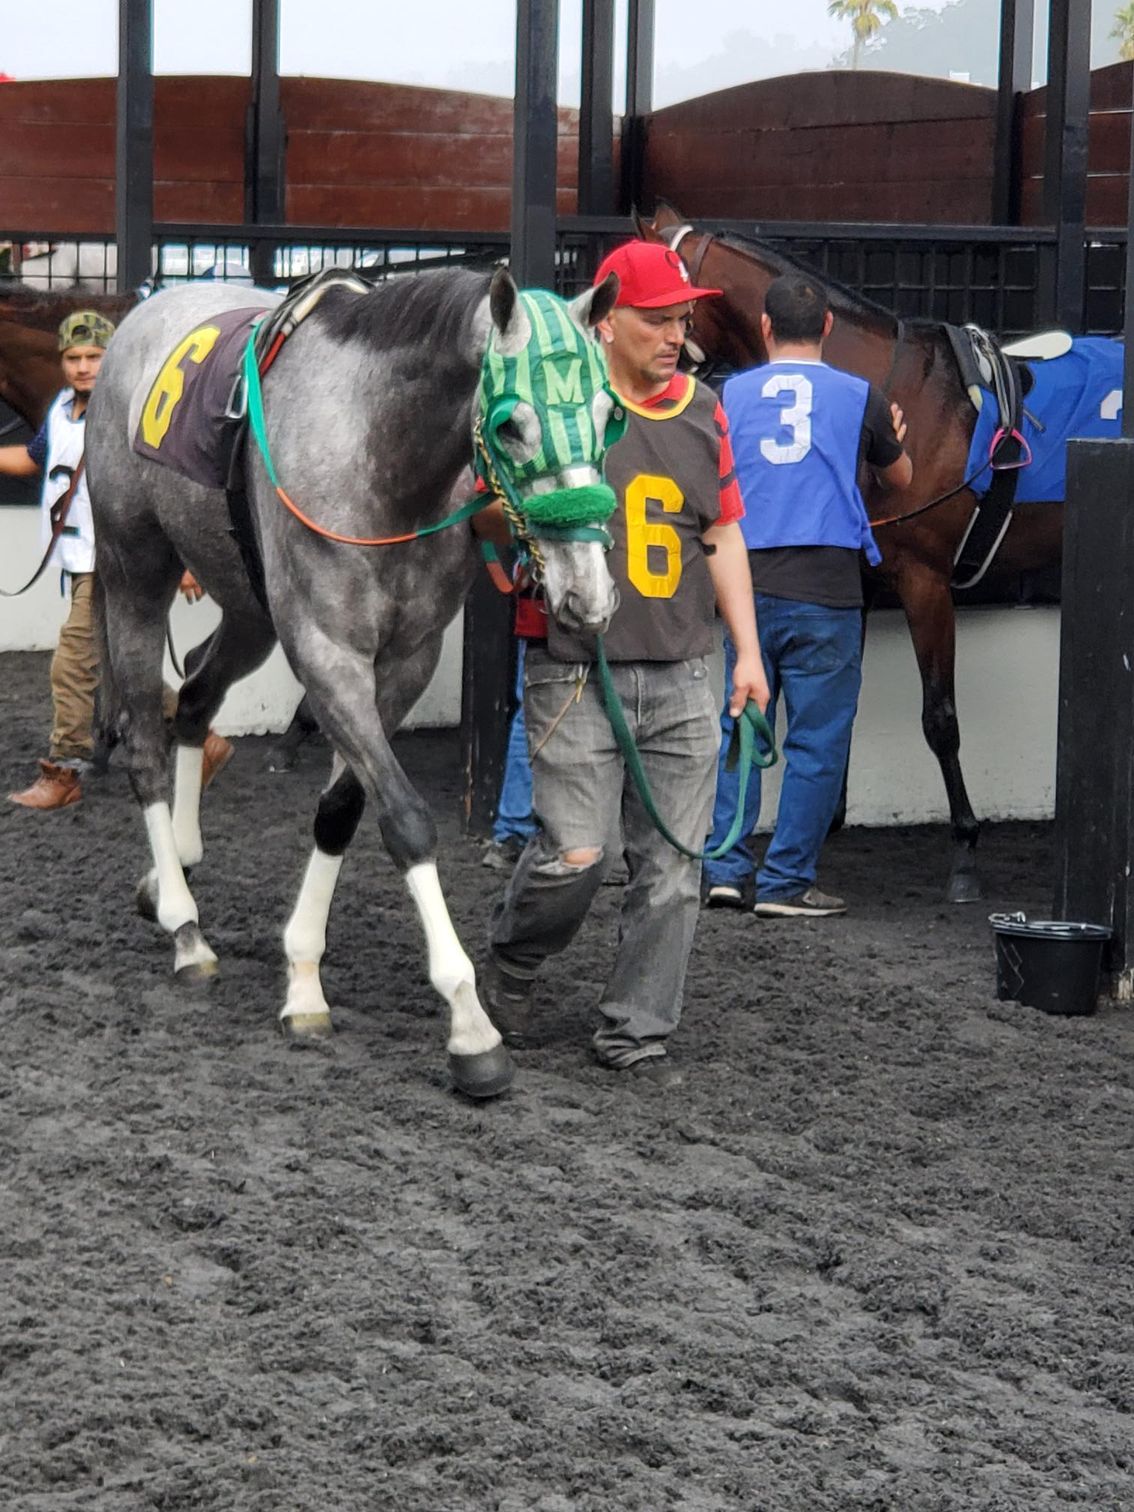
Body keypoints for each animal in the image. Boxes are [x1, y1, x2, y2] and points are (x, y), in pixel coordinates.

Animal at [85, 267, 622, 1099]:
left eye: (607, 413)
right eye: (511, 427)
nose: (586, 595)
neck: (381, 454)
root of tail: (146, 308)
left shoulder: (405, 659)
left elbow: (341, 809)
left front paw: (304, 975)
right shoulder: (327, 652)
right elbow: (404, 817)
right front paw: (469, 1024)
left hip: (249, 603)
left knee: (196, 698)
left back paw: (176, 861)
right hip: (134, 565)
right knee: (144, 737)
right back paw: (183, 924)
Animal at [639, 204, 1065, 903]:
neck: (888, 388)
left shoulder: (923, 581)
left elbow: (939, 716)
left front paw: (965, 847)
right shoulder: (856, 574)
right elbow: (838, 699)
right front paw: (825, 823)